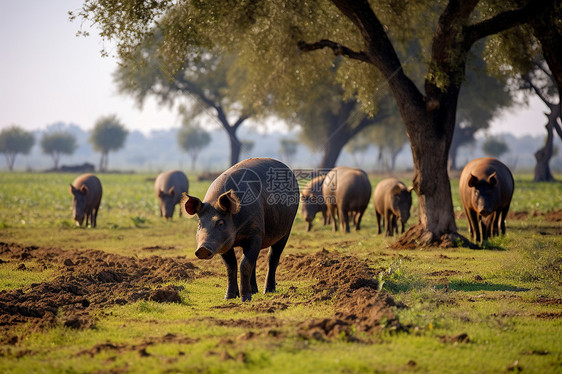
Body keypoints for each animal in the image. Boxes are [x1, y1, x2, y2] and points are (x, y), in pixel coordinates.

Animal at [182, 157, 300, 300]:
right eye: (200, 224)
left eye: (220, 223)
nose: (203, 249)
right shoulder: (223, 243)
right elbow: (231, 266)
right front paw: (229, 297)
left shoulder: (255, 234)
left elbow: (244, 264)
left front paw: (245, 299)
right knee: (255, 261)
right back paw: (254, 291)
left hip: (286, 229)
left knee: (272, 258)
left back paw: (268, 291)